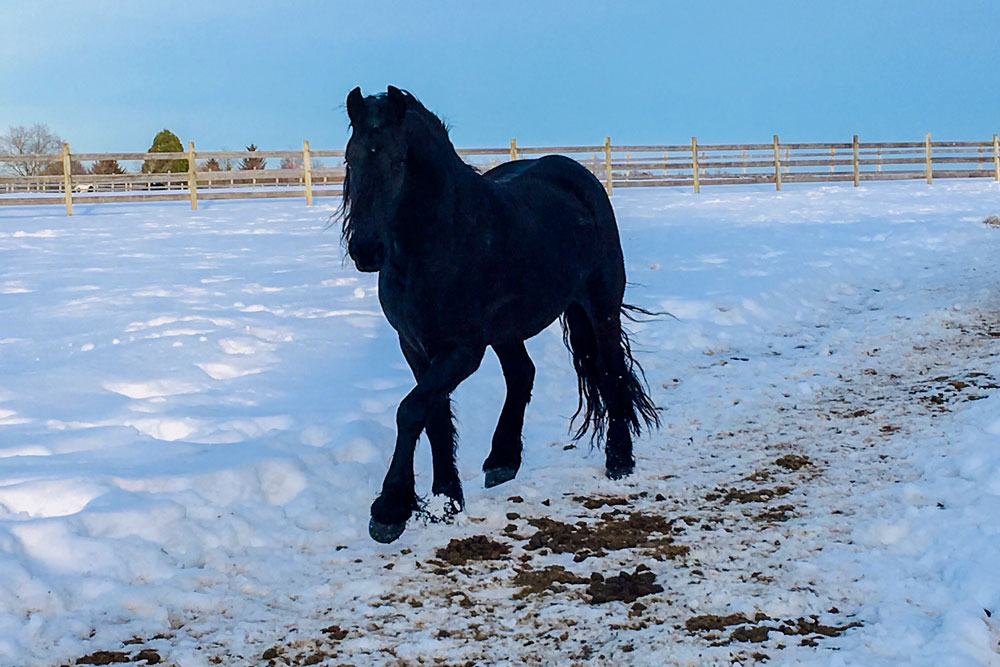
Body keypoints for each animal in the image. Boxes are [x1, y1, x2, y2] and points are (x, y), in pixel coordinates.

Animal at [341, 86, 659, 543]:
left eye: (397, 161)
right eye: (351, 159)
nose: (366, 250)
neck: (438, 242)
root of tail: (576, 176)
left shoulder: (462, 351)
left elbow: (410, 411)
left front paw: (391, 508)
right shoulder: (416, 346)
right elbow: (433, 416)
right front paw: (446, 498)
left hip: (601, 306)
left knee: (610, 369)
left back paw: (619, 459)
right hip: (508, 330)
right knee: (522, 374)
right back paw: (503, 459)